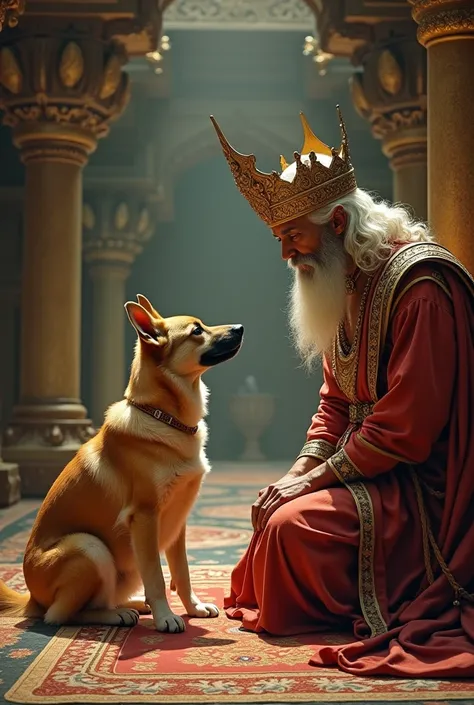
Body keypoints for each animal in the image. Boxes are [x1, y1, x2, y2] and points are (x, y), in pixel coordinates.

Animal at [0, 294, 244, 636]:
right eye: (197, 330)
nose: (241, 327)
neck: (164, 418)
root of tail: (32, 599)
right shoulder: (144, 517)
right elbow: (156, 575)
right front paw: (166, 617)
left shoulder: (178, 522)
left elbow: (181, 572)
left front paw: (193, 608)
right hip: (89, 547)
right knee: (62, 615)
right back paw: (118, 615)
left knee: (96, 600)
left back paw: (133, 605)